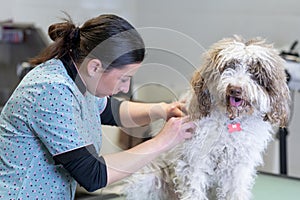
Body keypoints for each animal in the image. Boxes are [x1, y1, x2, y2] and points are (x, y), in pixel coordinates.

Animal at [124, 36, 290, 200]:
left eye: (253, 71)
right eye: (228, 66)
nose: (234, 89)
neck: (231, 121)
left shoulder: (238, 165)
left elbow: (234, 190)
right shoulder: (195, 160)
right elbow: (194, 189)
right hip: (146, 179)